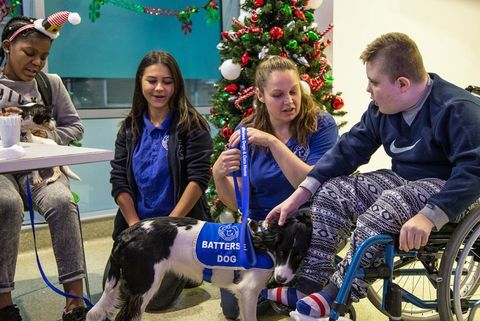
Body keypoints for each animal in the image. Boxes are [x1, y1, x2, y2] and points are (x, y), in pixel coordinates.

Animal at [86, 212, 312, 320]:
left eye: (299, 255)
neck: (262, 241)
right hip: (144, 288)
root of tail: (126, 234)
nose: (281, 279)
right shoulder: (248, 291)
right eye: (282, 251)